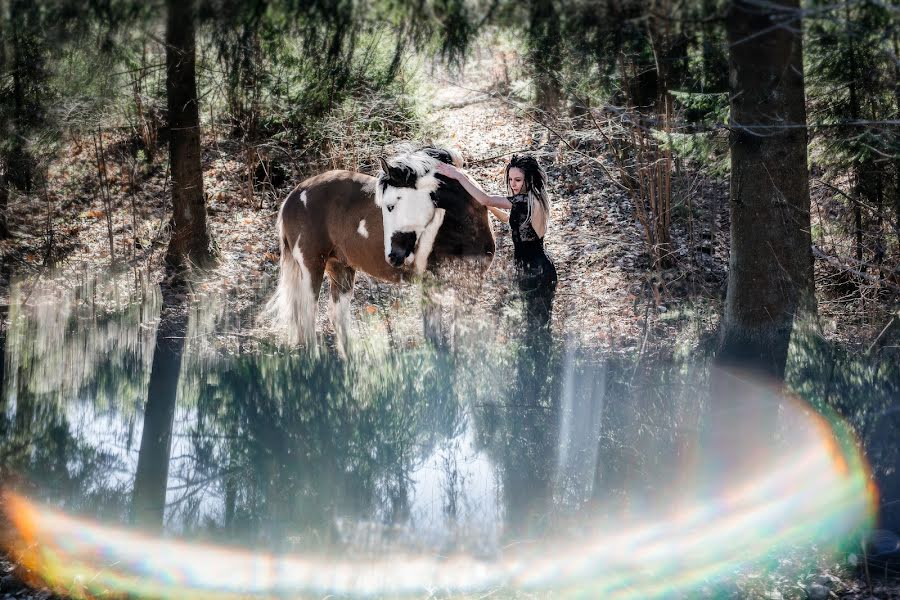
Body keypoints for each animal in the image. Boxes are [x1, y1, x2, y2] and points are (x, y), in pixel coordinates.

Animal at [268, 146, 496, 350]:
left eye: (391, 205)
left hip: (341, 268)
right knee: (308, 317)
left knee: (336, 315)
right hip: (312, 266)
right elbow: (435, 341)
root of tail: (293, 197)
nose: (393, 256)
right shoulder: (430, 287)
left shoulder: (469, 287)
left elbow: (459, 340)